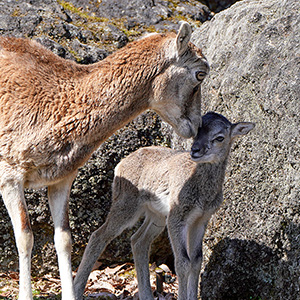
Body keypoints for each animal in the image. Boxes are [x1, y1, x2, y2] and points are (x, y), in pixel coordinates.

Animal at [76, 112, 254, 300]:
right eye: (196, 132)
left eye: (220, 137)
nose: (195, 150)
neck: (202, 194)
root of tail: (120, 165)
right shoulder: (177, 216)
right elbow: (183, 262)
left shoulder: (201, 219)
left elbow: (197, 260)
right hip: (126, 204)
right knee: (99, 236)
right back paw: (77, 290)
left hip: (157, 216)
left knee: (138, 241)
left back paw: (146, 295)